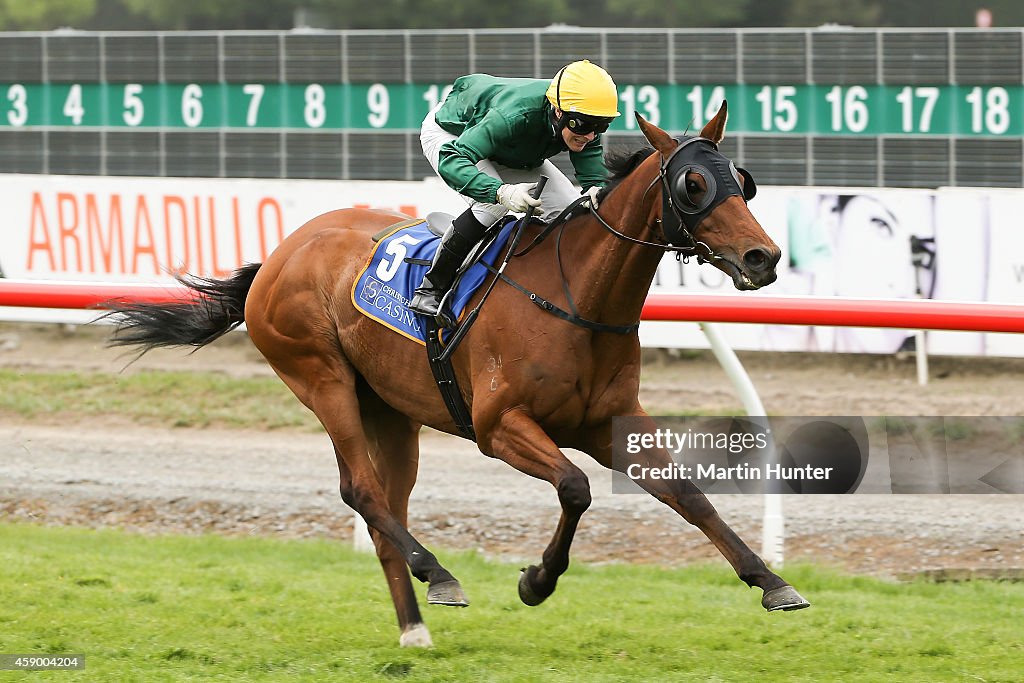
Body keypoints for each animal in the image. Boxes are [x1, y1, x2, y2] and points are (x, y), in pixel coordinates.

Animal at [103, 104, 806, 651]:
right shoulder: (500, 426)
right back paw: (436, 574)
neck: (575, 295)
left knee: (387, 504)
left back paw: (414, 626)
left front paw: (772, 582)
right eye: (693, 183)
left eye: (741, 181)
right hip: (321, 379)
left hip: (388, 407)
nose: (762, 256)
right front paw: (536, 581)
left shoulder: (612, 420)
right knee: (361, 491)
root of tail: (280, 253)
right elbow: (576, 488)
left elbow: (688, 494)